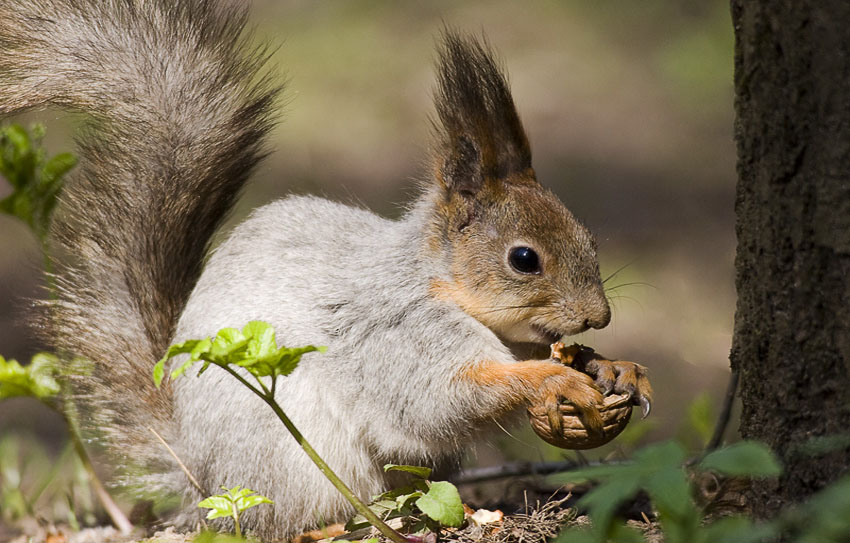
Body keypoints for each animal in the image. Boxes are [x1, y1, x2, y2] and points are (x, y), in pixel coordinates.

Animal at [0, 0, 652, 540]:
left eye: (589, 237)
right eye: (523, 259)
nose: (599, 317)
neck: (437, 282)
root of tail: (202, 480)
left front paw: (609, 367)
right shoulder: (396, 333)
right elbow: (441, 398)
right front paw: (552, 381)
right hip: (284, 463)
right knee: (290, 518)